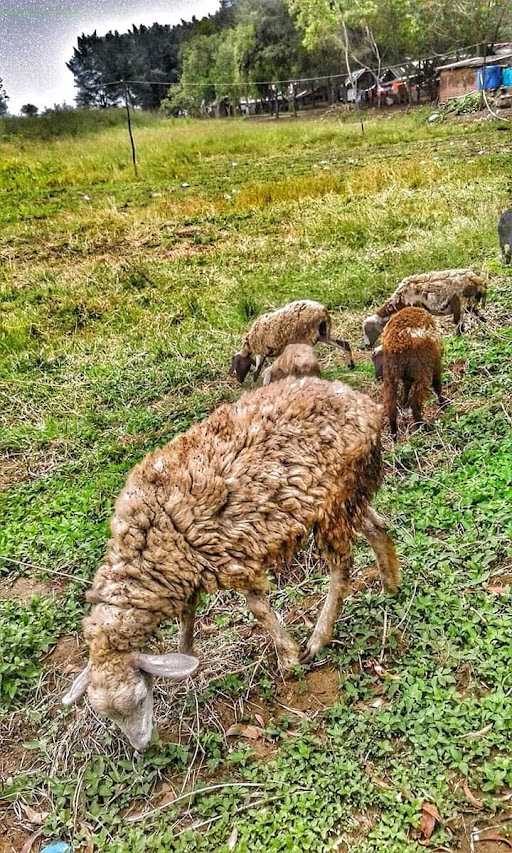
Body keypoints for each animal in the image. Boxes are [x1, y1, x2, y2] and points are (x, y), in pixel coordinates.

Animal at [62, 378, 400, 744]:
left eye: (140, 698)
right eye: (109, 716)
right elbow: (188, 617)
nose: (142, 746)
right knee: (378, 527)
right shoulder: (188, 572)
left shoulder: (235, 558)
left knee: (341, 567)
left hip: (335, 499)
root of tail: (361, 402)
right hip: (350, 494)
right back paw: (390, 585)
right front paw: (187, 656)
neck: (148, 544)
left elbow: (258, 609)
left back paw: (317, 639)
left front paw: (288, 657)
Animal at [372, 308, 448, 440]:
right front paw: (443, 404)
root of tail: (398, 345)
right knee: (416, 402)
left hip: (391, 373)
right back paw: (422, 426)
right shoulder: (436, 361)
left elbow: (406, 386)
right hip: (422, 369)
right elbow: (437, 384)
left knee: (390, 404)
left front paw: (403, 402)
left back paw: (394, 433)